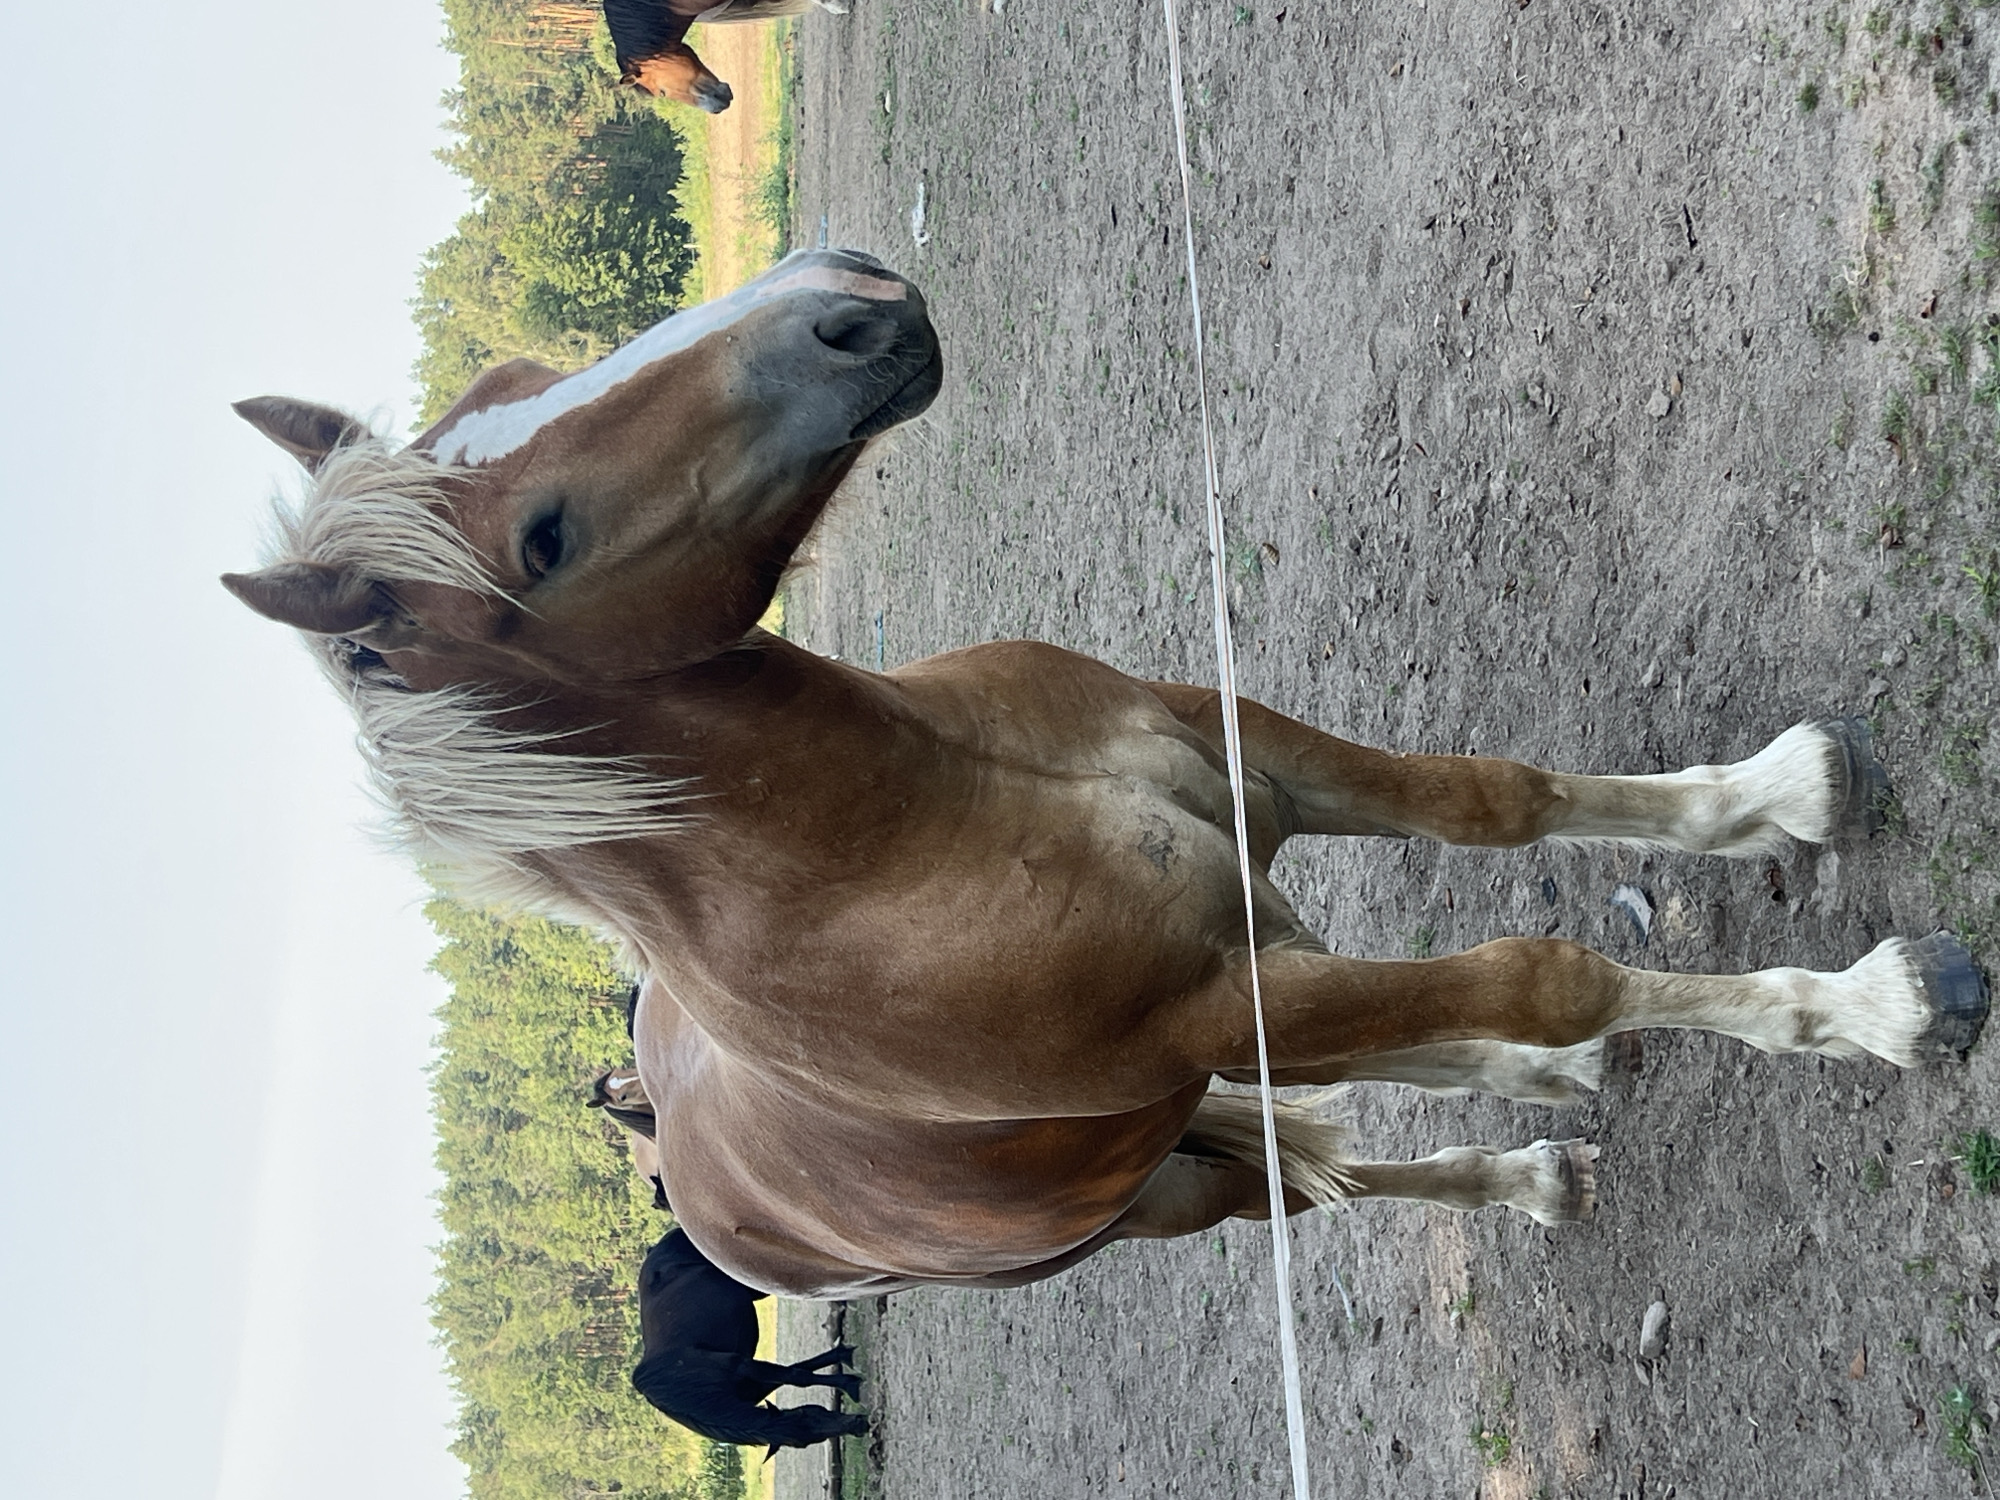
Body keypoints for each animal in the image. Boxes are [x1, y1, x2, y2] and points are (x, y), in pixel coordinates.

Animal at [224, 246, 1989, 1300]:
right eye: (544, 539)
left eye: (521, 384)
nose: (841, 298)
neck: (933, 810)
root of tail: (690, 1178)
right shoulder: (1209, 1006)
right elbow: (1548, 969)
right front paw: (1879, 1007)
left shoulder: (1249, 764)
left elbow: (1495, 800)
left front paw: (1781, 796)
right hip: (1162, 1180)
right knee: (1317, 1172)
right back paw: (1532, 1160)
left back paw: (1538, 1107)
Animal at [632, 1227, 867, 1452]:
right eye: (809, 1423)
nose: (860, 1425)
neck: (681, 1382)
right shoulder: (751, 1384)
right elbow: (798, 1371)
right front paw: (844, 1364)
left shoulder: (741, 1365)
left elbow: (798, 1376)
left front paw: (849, 1382)